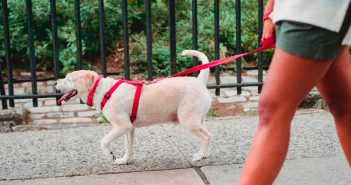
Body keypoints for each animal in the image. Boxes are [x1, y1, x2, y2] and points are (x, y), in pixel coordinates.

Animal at [56, 50, 213, 165]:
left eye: (68, 79)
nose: (56, 82)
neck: (103, 90)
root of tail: (199, 81)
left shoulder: (122, 126)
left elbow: (104, 141)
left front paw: (110, 155)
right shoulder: (129, 128)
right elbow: (129, 147)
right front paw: (124, 160)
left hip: (189, 120)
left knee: (207, 136)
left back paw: (198, 156)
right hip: (199, 119)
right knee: (206, 135)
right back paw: (204, 155)